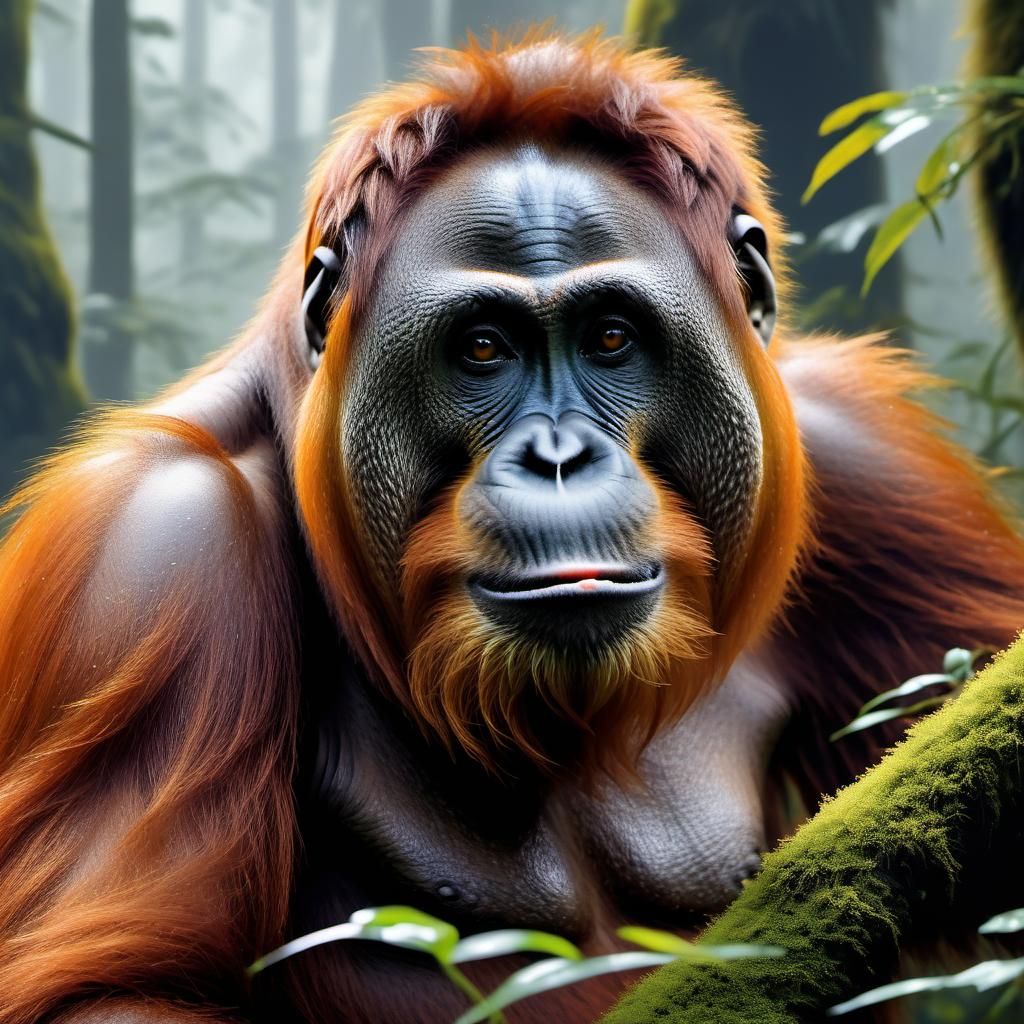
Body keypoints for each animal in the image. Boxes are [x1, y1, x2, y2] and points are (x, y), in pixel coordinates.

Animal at [1, 31, 1023, 1024]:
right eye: (483, 349)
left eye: (610, 337)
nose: (558, 456)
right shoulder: (155, 553)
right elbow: (111, 990)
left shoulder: (863, 467)